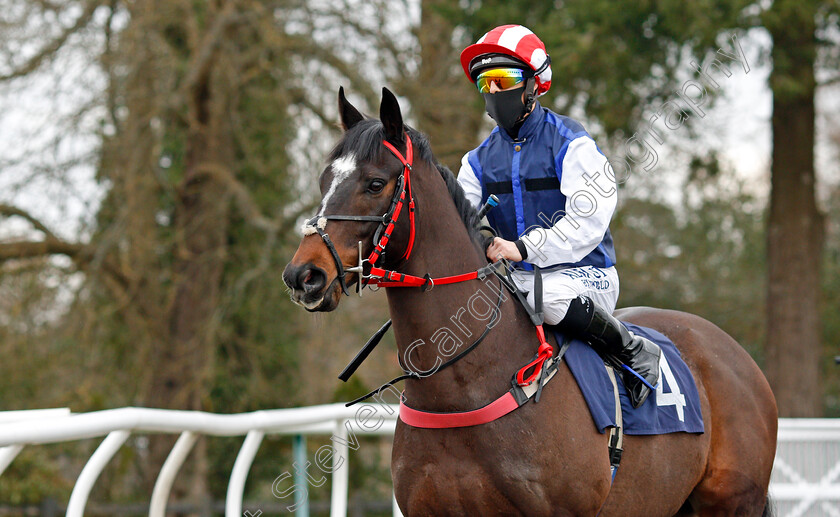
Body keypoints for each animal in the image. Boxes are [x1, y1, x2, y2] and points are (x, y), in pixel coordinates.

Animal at [286, 86, 776, 512]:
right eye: (324, 179)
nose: (303, 275)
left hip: (732, 502)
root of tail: (736, 354)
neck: (462, 387)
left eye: (374, 183)